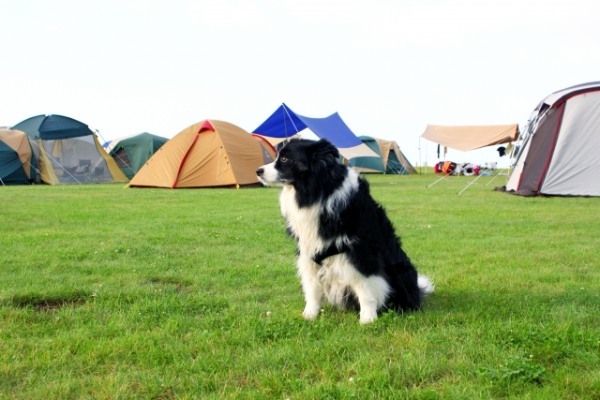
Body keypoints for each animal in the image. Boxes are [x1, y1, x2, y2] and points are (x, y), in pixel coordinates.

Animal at [255, 139, 434, 324]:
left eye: (284, 159)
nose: (258, 171)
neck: (318, 192)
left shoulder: (361, 253)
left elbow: (365, 287)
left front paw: (368, 319)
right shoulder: (308, 250)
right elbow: (312, 287)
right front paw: (309, 315)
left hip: (401, 273)